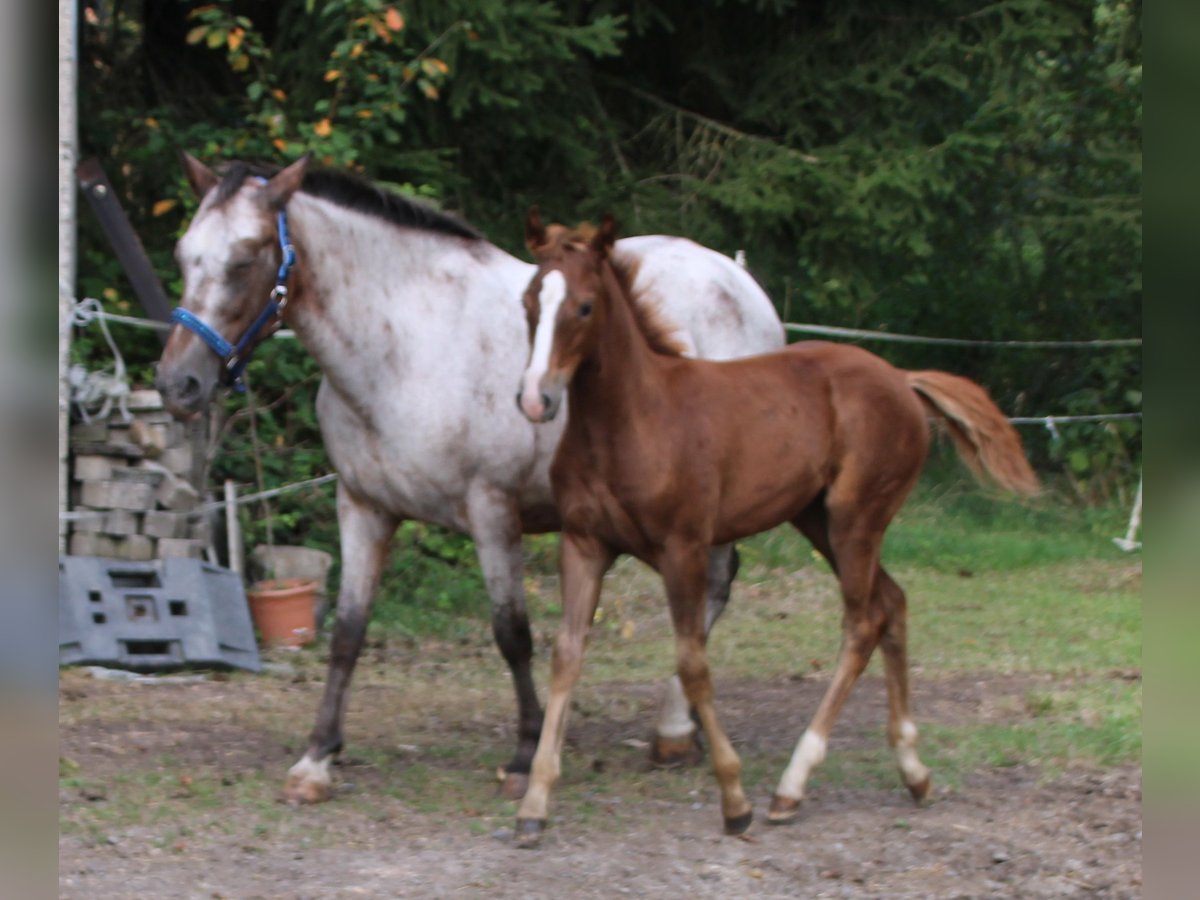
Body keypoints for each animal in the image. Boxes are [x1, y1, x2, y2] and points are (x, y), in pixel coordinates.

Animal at [154, 153, 782, 801]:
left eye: (244, 258)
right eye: (183, 254)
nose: (179, 384)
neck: (404, 348)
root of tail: (736, 279)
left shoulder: (492, 511)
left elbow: (512, 634)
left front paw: (527, 753)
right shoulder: (363, 508)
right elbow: (348, 633)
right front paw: (317, 758)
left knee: (712, 585)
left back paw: (674, 729)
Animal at [511, 214, 1036, 849]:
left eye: (585, 306)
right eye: (530, 300)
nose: (535, 399)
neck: (629, 422)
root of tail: (902, 378)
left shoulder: (684, 547)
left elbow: (693, 661)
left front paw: (734, 801)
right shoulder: (584, 545)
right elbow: (567, 655)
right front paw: (534, 805)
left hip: (856, 517)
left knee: (863, 621)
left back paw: (792, 786)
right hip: (818, 519)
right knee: (893, 602)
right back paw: (913, 771)